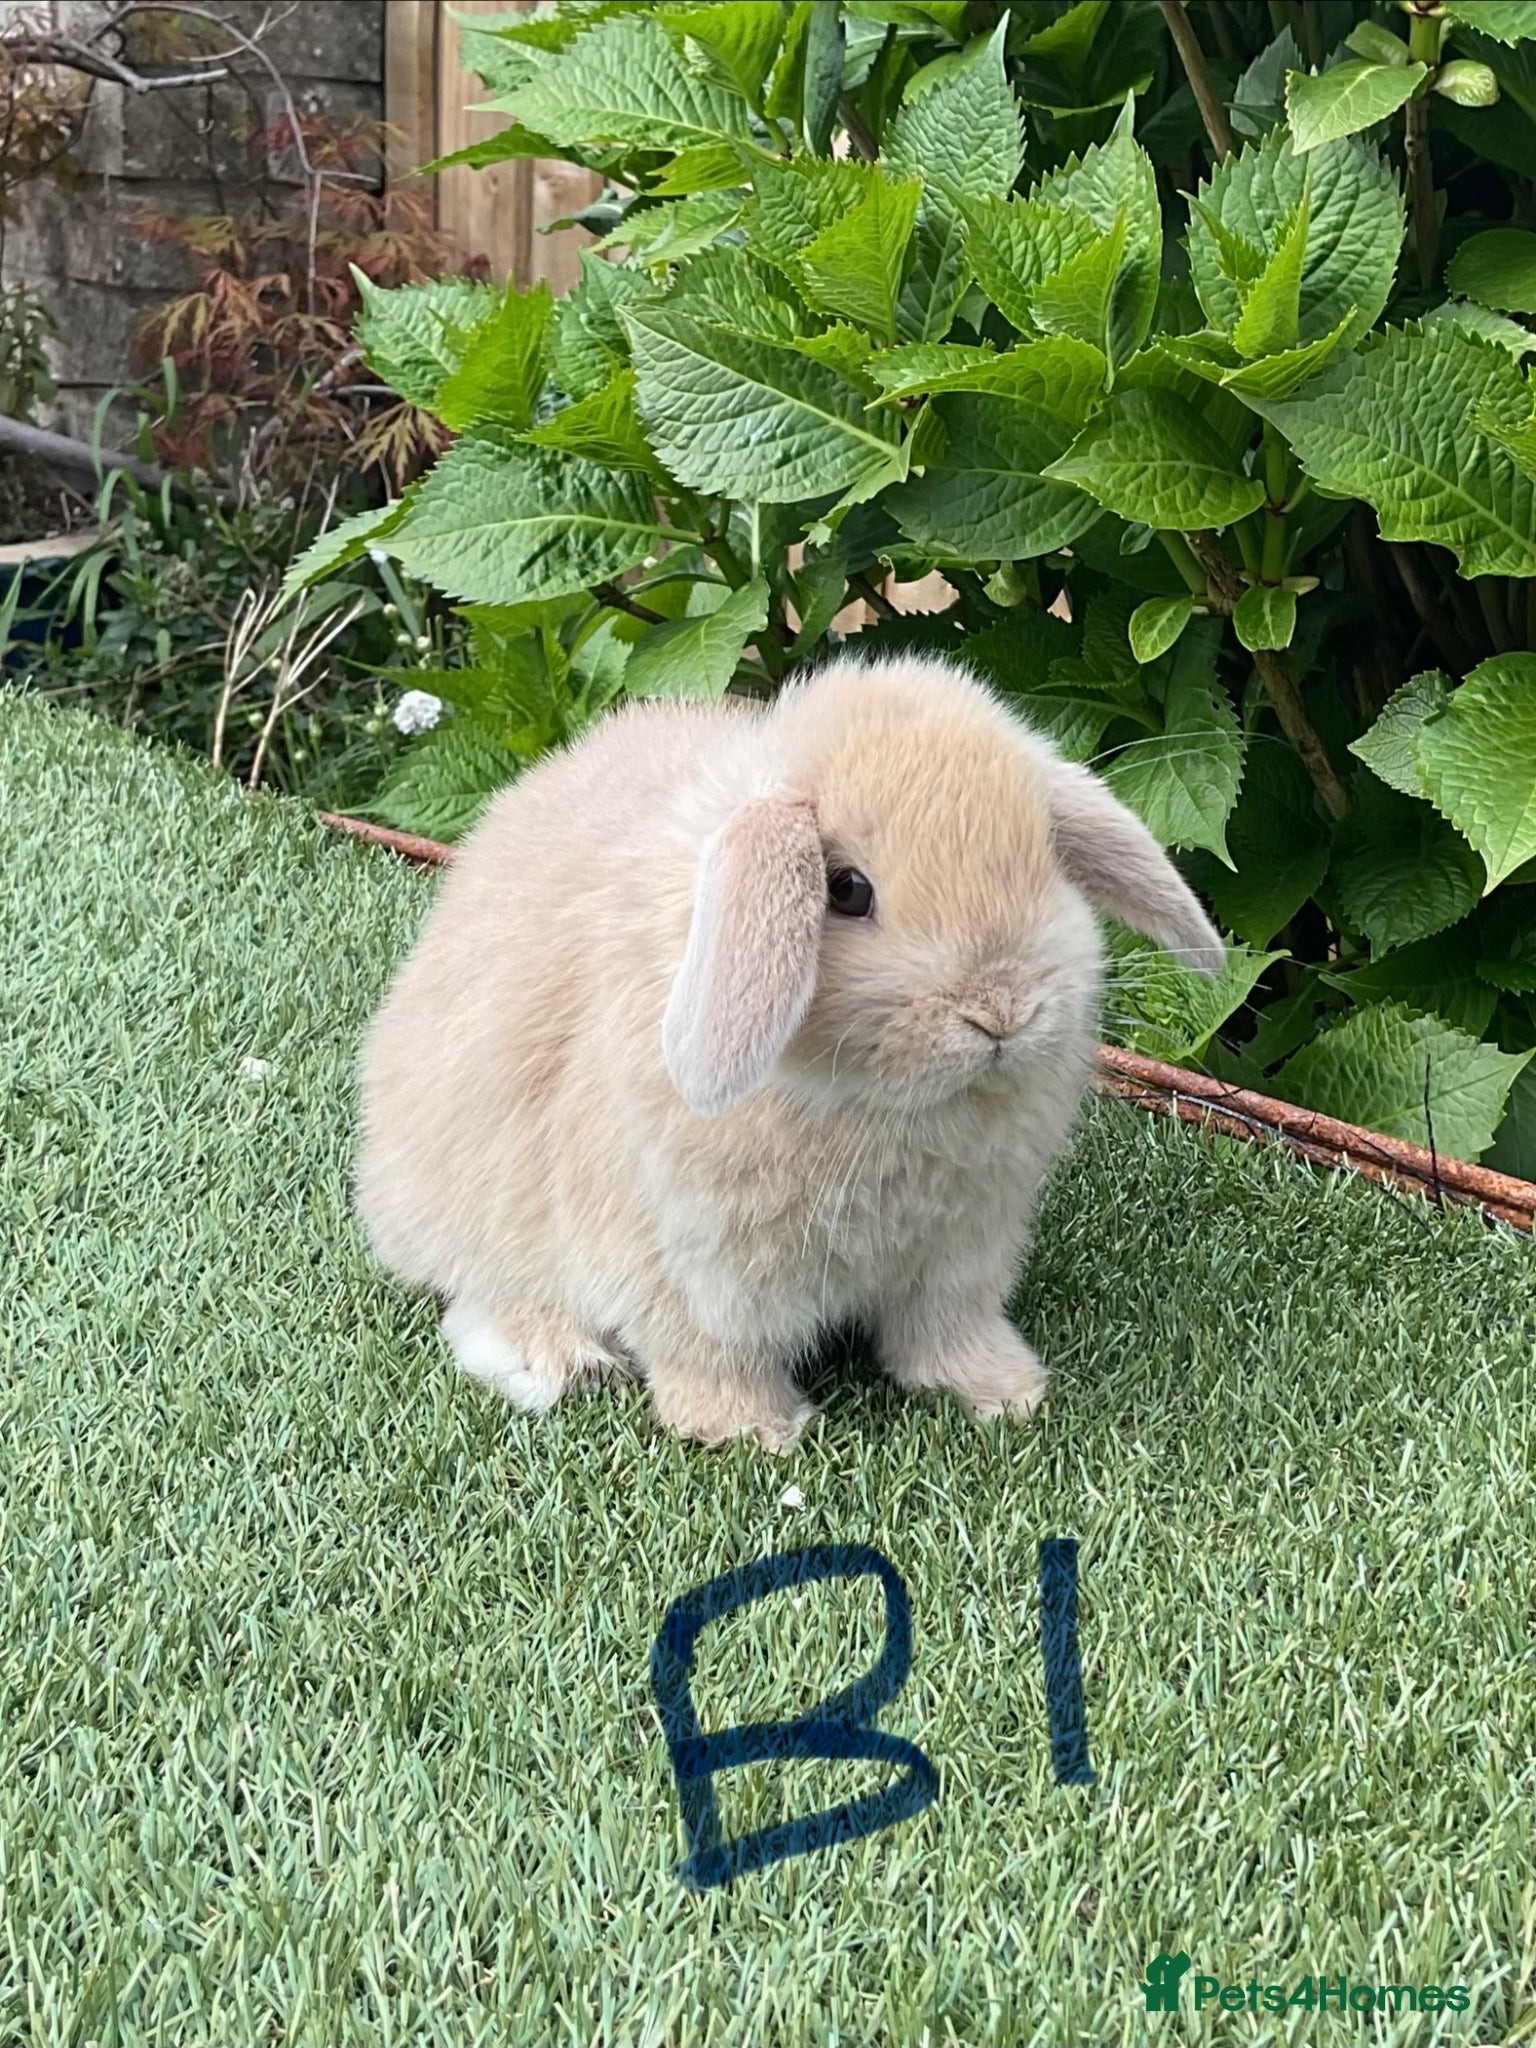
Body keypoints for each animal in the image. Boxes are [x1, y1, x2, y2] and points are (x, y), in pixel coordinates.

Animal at [355, 651, 1224, 1450]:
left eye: (1043, 860)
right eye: (846, 890)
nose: (1002, 1011)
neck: (879, 1105)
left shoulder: (962, 1255)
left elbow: (945, 1332)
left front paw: (1005, 1392)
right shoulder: (691, 1273)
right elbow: (712, 1358)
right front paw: (754, 1432)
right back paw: (558, 1356)